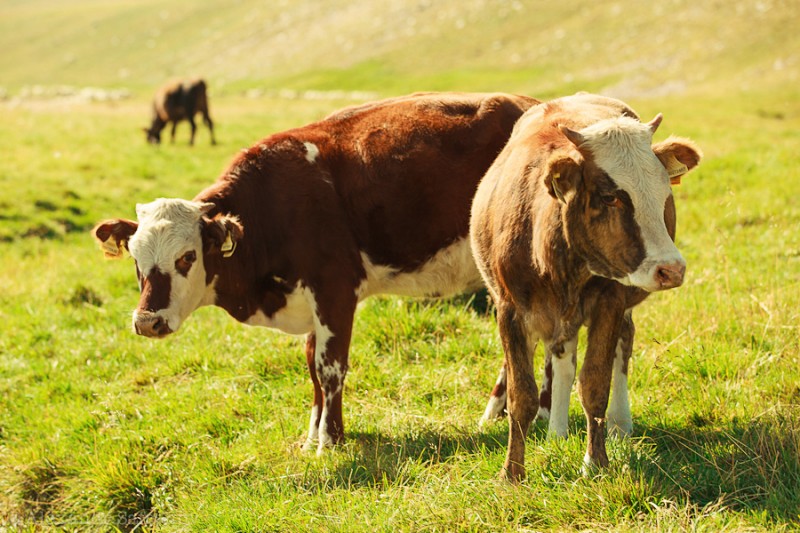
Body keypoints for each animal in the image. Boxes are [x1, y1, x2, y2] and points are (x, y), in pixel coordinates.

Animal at [97, 91, 540, 454]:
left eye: (187, 257)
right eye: (135, 258)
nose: (148, 321)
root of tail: (532, 104)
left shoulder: (335, 290)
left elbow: (330, 368)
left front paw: (330, 441)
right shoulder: (310, 300)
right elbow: (312, 366)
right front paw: (314, 434)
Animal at [468, 90, 700, 478]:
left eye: (664, 192)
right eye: (610, 196)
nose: (671, 269)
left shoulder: (610, 303)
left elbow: (594, 383)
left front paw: (596, 463)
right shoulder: (510, 311)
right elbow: (523, 395)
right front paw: (512, 473)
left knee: (621, 346)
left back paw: (620, 425)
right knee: (563, 357)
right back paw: (557, 432)